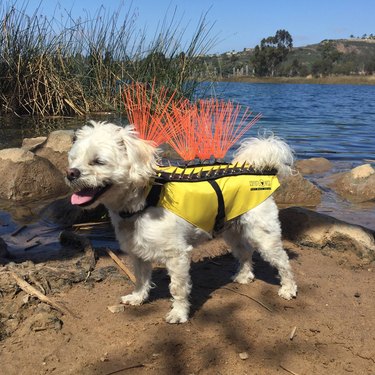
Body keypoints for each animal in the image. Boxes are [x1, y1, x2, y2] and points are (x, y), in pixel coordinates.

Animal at [67, 122, 296, 324]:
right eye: (73, 160)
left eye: (98, 161)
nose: (70, 173)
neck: (144, 200)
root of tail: (262, 169)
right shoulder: (137, 252)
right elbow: (141, 278)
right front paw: (138, 297)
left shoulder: (177, 255)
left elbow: (177, 288)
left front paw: (179, 313)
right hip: (232, 232)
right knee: (245, 252)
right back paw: (244, 276)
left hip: (263, 235)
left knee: (283, 261)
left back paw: (288, 289)